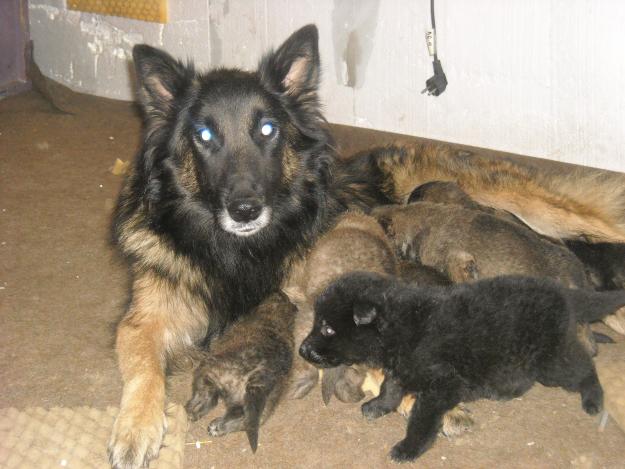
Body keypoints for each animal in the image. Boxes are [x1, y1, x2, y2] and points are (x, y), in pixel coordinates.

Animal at [184, 292, 294, 450]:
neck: (275, 317)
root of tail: (257, 380)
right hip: (263, 405)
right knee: (242, 420)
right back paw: (218, 427)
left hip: (209, 371)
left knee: (207, 398)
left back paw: (192, 410)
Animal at [298, 270, 625, 460]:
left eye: (328, 329)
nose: (302, 349)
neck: (402, 324)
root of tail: (564, 293)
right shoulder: (402, 368)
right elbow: (391, 388)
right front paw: (379, 406)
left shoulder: (440, 386)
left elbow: (422, 420)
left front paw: (409, 448)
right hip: (518, 355)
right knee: (524, 377)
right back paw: (503, 393)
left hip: (552, 359)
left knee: (583, 366)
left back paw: (593, 398)